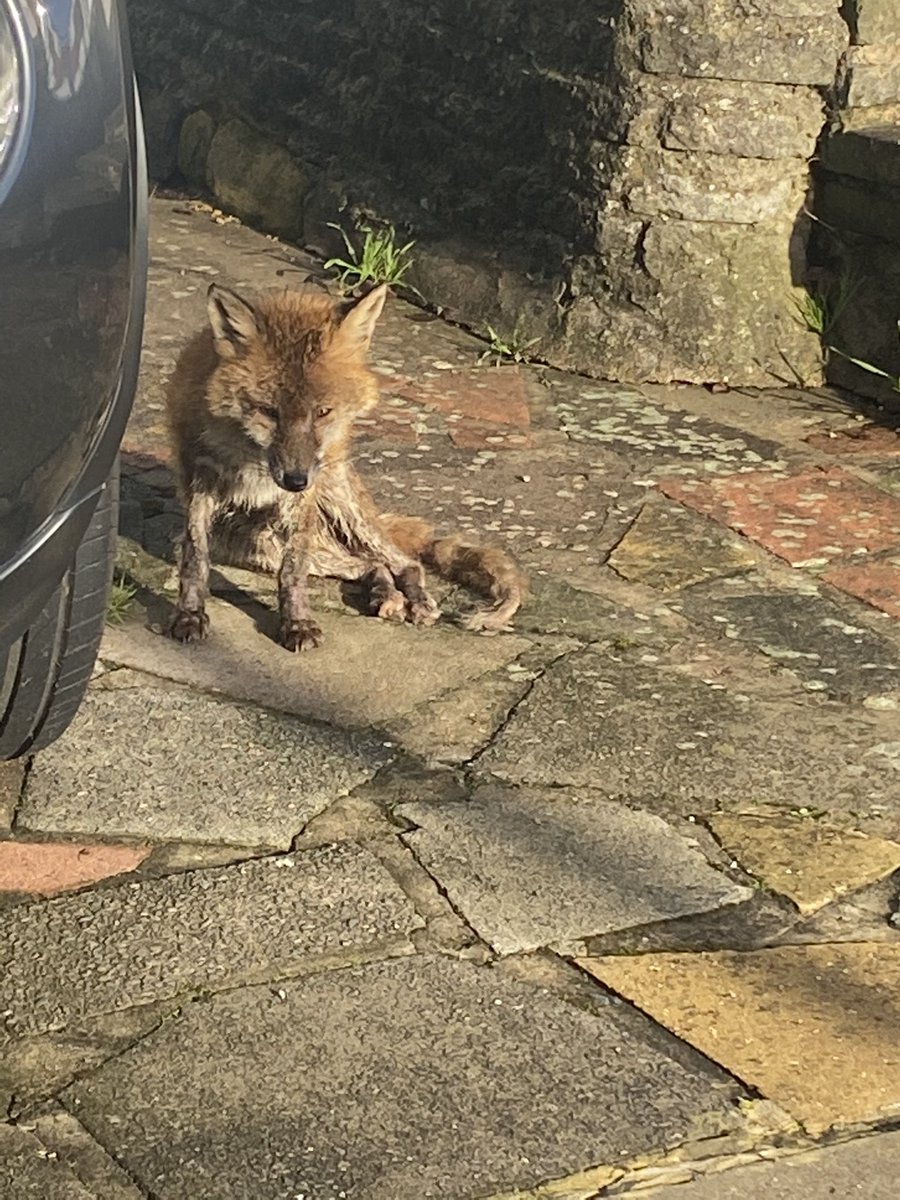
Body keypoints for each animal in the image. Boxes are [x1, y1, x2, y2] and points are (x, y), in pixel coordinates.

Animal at [164, 282, 525, 651]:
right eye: (269, 411)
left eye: (323, 412)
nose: (295, 480)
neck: (251, 459)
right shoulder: (200, 484)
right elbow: (195, 560)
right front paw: (189, 615)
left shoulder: (300, 505)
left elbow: (292, 573)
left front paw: (297, 623)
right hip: (254, 546)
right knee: (369, 565)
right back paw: (385, 595)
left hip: (338, 505)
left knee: (404, 562)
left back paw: (413, 600)